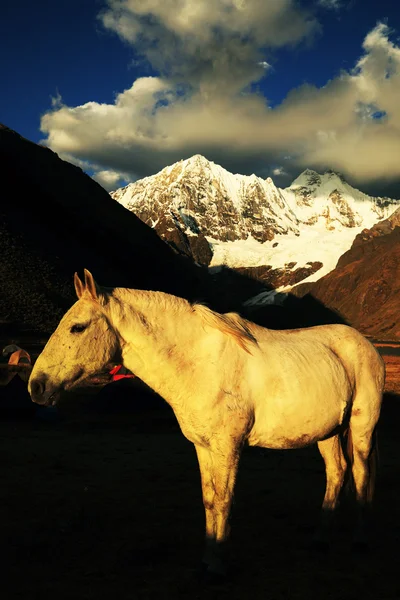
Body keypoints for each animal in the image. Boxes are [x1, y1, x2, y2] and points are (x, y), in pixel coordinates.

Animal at [28, 270, 384, 576]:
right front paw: (207, 558)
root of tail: (367, 345)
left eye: (77, 327)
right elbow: (210, 500)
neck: (200, 363)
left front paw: (217, 566)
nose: (37, 386)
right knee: (337, 473)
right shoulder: (203, 447)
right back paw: (320, 540)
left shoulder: (229, 447)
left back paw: (361, 541)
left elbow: (225, 500)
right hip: (328, 433)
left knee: (361, 474)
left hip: (361, 430)